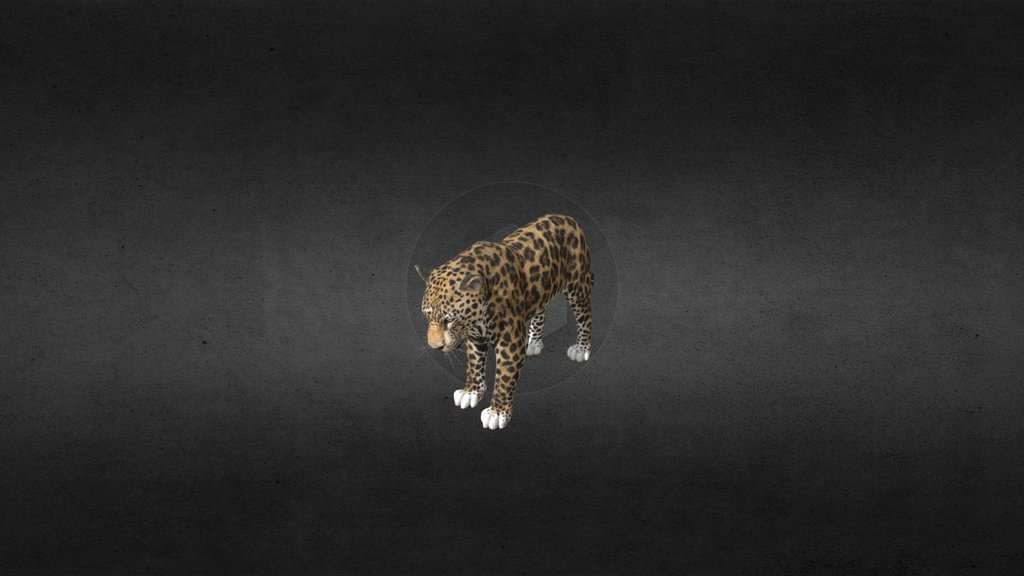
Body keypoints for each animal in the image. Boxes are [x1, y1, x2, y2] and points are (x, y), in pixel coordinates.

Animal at [415, 213, 595, 430]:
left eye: (449, 320)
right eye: (426, 316)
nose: (434, 346)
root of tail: (568, 218)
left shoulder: (509, 342)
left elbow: (505, 377)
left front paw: (497, 412)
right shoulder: (475, 337)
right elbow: (474, 364)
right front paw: (470, 392)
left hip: (577, 287)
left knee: (585, 316)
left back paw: (581, 349)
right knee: (541, 309)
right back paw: (534, 343)